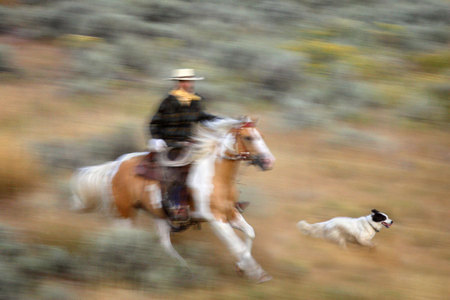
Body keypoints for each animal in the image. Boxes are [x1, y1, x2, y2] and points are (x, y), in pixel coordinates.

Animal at [70, 116, 274, 282]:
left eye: (262, 135)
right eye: (248, 137)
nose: (269, 161)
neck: (217, 177)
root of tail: (114, 165)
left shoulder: (230, 213)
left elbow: (250, 233)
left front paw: (243, 268)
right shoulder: (216, 219)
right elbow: (236, 246)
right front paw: (255, 272)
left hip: (158, 216)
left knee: (164, 244)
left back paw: (185, 269)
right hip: (125, 213)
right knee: (124, 238)